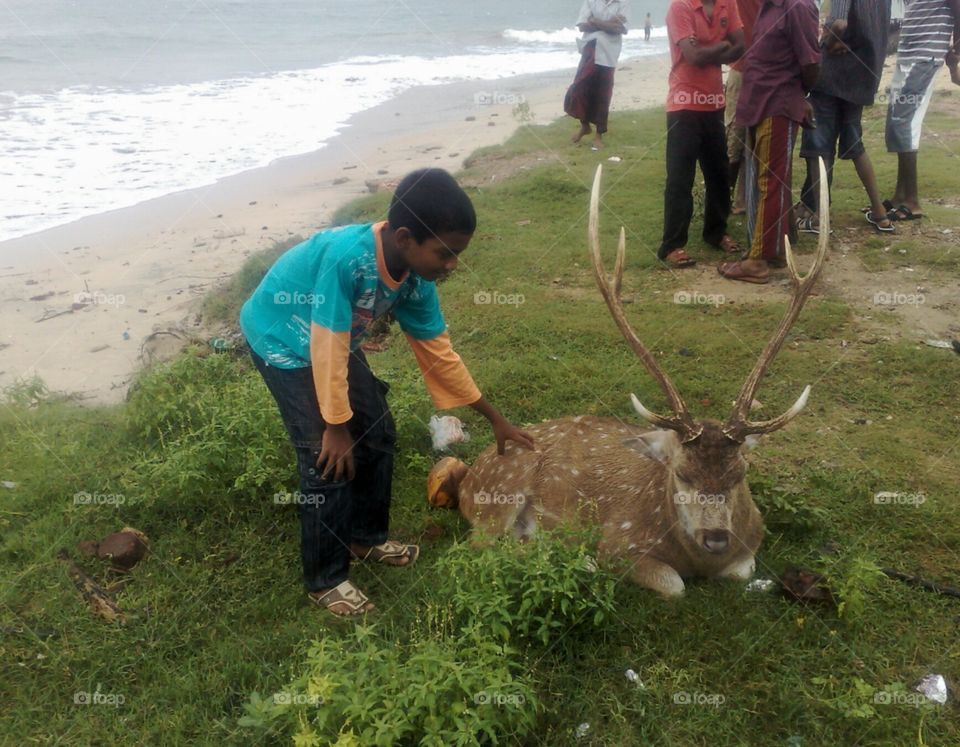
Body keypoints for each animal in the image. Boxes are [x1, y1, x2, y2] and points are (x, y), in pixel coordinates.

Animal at [432, 162, 828, 596]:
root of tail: (470, 476)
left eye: (740, 474)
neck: (695, 561)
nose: (716, 538)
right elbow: (674, 585)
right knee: (479, 548)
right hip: (498, 498)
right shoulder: (621, 543)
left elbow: (741, 571)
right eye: (681, 474)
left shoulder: (749, 546)